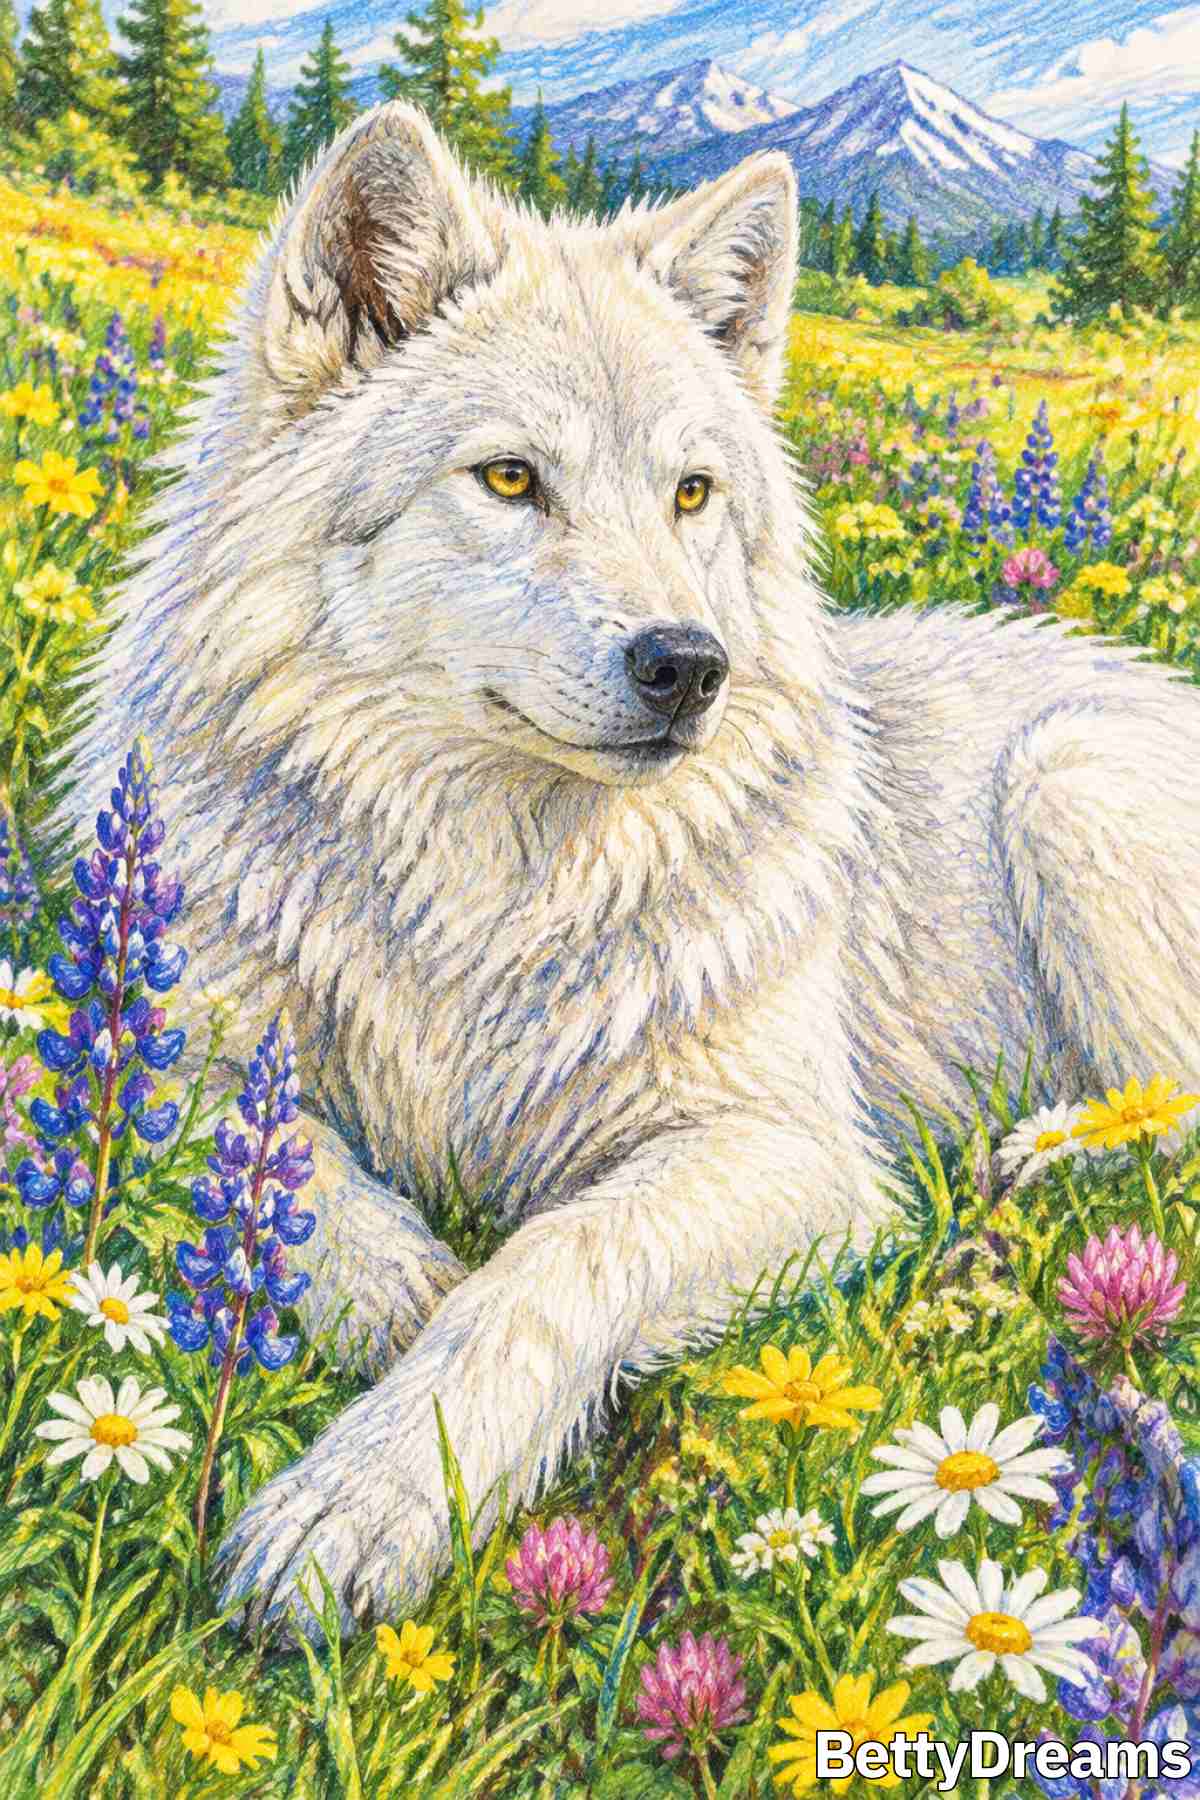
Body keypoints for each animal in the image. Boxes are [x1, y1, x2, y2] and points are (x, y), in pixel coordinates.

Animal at [75, 100, 1200, 1641]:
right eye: (509, 479)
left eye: (691, 495)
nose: (689, 666)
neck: (486, 892)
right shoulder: (150, 1036)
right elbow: (260, 1163)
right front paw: (387, 1288)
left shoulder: (790, 1154)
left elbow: (552, 1261)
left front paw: (362, 1503)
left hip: (1066, 778)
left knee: (1165, 1123)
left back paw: (1028, 1152)